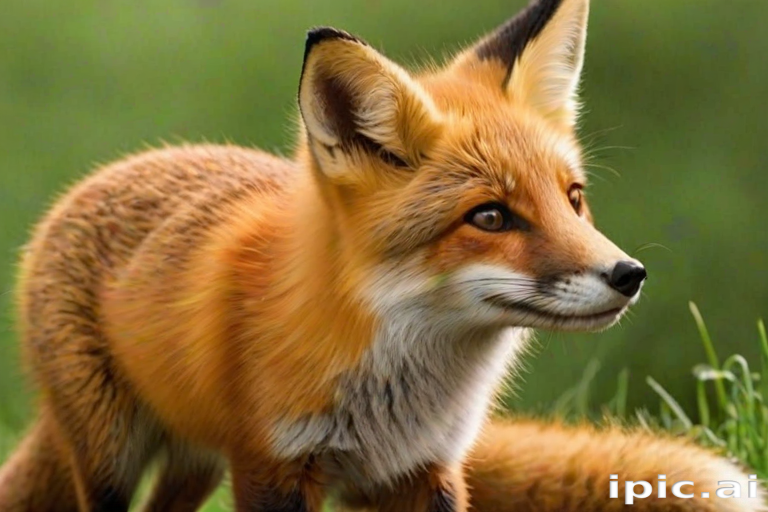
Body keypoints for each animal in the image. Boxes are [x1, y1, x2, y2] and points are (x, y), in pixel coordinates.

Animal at [0, 0, 762, 511]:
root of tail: (99, 177)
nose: (629, 275)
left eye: (573, 199)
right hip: (112, 455)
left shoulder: (423, 470)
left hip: (195, 460)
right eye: (490, 216)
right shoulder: (275, 466)